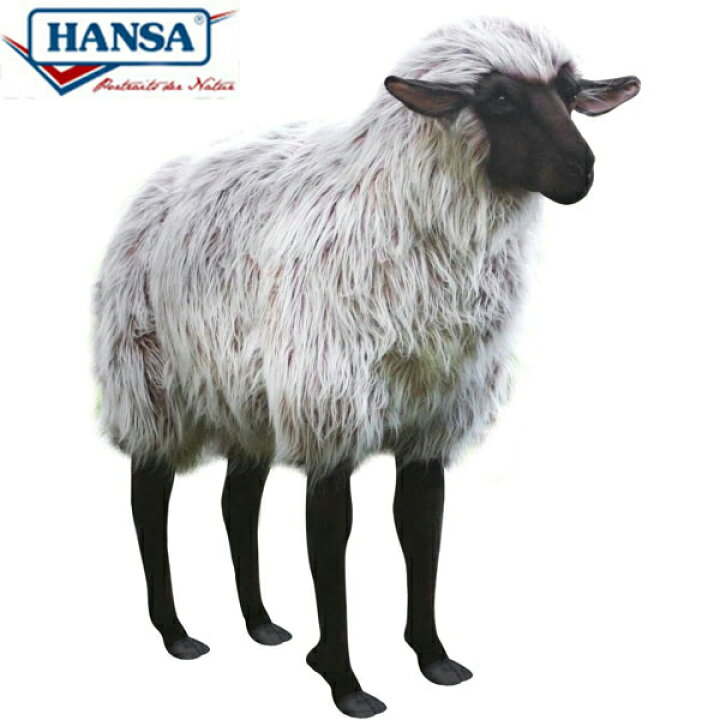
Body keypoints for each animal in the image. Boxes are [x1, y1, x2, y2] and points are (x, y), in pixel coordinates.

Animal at [93, 15, 640, 717]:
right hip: (151, 382)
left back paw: (261, 624)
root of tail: (157, 186)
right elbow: (331, 542)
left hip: (249, 397)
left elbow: (421, 529)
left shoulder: (431, 419)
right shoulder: (331, 411)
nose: (581, 170)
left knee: (237, 501)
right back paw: (176, 634)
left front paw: (433, 659)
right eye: (498, 98)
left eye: (570, 96)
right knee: (148, 496)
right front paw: (344, 681)